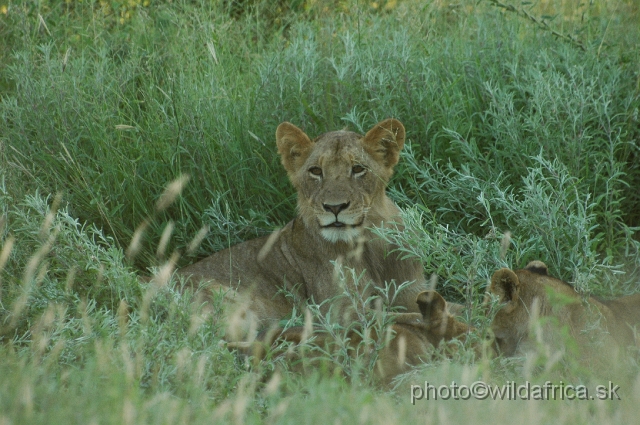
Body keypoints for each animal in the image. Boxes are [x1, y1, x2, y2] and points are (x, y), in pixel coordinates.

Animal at [179, 119, 430, 342]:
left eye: (358, 169)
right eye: (316, 171)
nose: (334, 207)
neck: (369, 244)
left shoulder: (411, 292)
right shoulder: (340, 312)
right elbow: (413, 316)